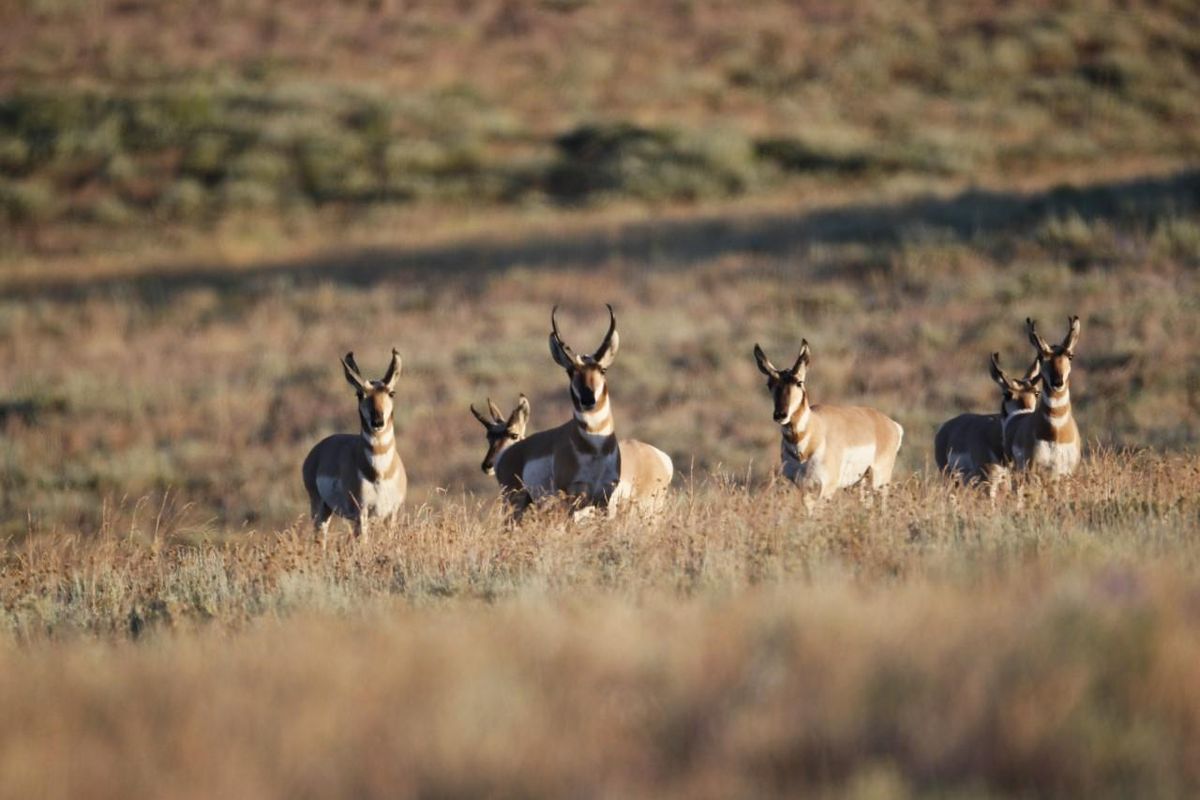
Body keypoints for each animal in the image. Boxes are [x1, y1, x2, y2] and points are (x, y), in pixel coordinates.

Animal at [300, 350, 408, 544]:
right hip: (319, 508)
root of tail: (318, 449)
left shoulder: (392, 513)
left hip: (327, 509)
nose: (377, 422)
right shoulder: (361, 513)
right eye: (359, 394)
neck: (379, 472)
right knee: (319, 538)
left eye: (391, 393)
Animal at [748, 340, 902, 503]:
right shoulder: (804, 488)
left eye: (799, 382)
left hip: (879, 481)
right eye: (769, 384)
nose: (780, 415)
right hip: (861, 483)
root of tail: (890, 423)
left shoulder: (827, 487)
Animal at [936, 352, 1041, 489]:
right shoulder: (987, 480)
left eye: (1036, 393)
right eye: (1007, 394)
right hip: (951, 478)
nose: (1025, 413)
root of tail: (945, 427)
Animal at [1003, 316, 1089, 479]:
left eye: (1070, 356)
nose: (1057, 382)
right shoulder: (1033, 470)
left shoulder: (1067, 472)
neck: (1056, 431)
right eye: (1041, 357)